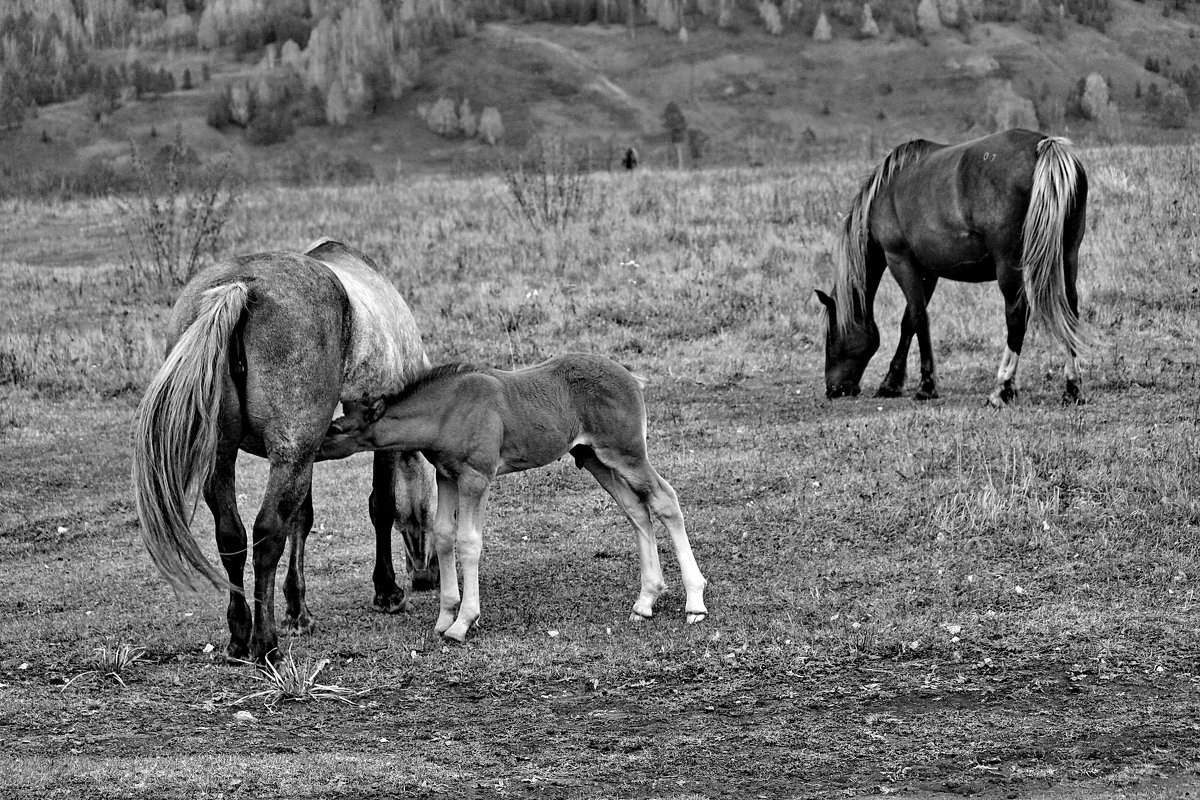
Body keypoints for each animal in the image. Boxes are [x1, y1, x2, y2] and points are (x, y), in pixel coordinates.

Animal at [130, 237, 436, 662]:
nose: (427, 577)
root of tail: (240, 287)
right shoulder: (360, 445)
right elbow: (381, 507)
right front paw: (387, 592)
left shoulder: (306, 454)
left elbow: (301, 521)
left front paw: (298, 611)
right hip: (289, 456)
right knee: (266, 535)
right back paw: (265, 643)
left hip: (233, 457)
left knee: (232, 537)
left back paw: (239, 637)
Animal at [324, 352, 705, 642]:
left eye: (337, 428)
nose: (313, 446)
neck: (447, 410)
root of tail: (630, 377)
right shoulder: (446, 476)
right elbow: (444, 536)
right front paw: (445, 617)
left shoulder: (476, 477)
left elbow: (469, 542)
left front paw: (464, 622)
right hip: (595, 458)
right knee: (636, 509)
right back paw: (645, 601)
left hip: (626, 453)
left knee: (665, 500)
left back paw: (695, 602)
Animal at [816, 128, 1089, 410]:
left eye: (831, 334)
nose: (833, 389)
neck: (886, 191)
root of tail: (1044, 146)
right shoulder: (928, 272)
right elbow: (909, 321)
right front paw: (891, 383)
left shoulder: (900, 261)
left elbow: (919, 318)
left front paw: (926, 386)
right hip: (1068, 254)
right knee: (1070, 306)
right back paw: (1072, 388)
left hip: (1009, 265)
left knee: (1017, 315)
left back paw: (1001, 388)